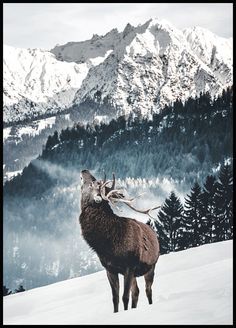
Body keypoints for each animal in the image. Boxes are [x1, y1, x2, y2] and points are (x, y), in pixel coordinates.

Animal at [79, 169, 160, 312]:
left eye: (93, 183)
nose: (84, 170)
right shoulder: (109, 269)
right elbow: (115, 298)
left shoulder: (129, 266)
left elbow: (124, 297)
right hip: (135, 273)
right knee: (136, 292)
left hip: (151, 266)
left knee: (147, 290)